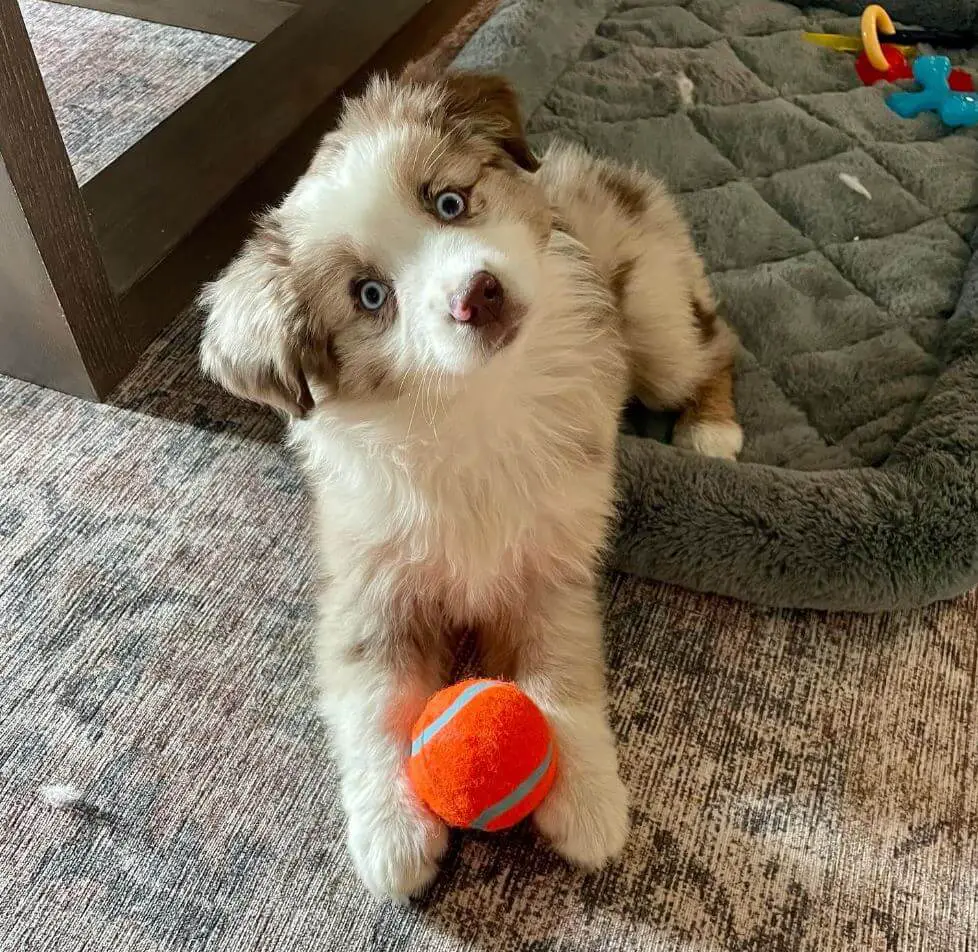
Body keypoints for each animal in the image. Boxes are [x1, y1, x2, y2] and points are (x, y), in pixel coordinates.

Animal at [200, 67, 740, 900]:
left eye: (449, 203)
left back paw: (712, 432)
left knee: (718, 343)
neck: (471, 403)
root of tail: (593, 168)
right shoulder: (369, 583)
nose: (477, 294)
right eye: (369, 296)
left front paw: (587, 802)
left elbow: (563, 678)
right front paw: (391, 836)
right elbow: (374, 701)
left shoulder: (552, 570)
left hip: (654, 320)